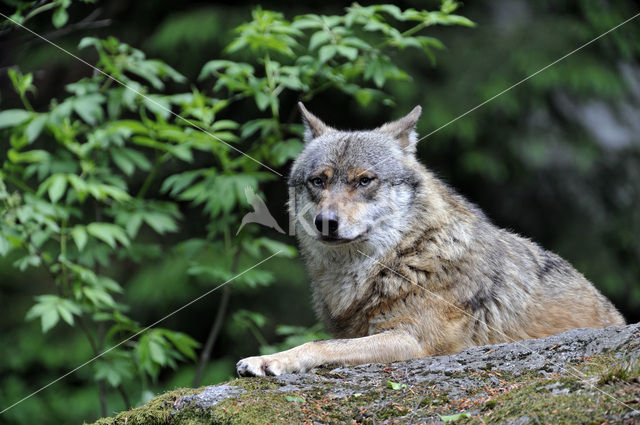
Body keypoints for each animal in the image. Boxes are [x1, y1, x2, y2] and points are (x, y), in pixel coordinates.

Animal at [236, 102, 624, 374]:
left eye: (365, 180)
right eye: (318, 181)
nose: (325, 222)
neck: (404, 256)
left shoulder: (413, 340)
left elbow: (320, 345)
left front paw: (269, 360)